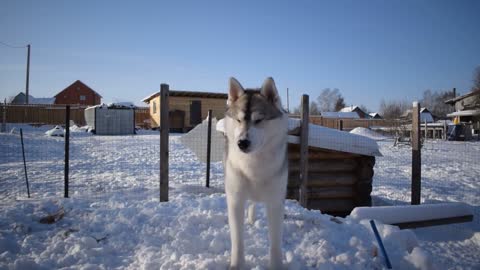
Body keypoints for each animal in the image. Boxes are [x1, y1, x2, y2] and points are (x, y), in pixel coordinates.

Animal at [223, 77, 286, 268]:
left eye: (258, 120)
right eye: (238, 120)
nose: (242, 142)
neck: (253, 165)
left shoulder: (275, 202)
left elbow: (275, 243)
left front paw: (276, 266)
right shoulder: (235, 199)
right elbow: (237, 241)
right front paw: (237, 265)